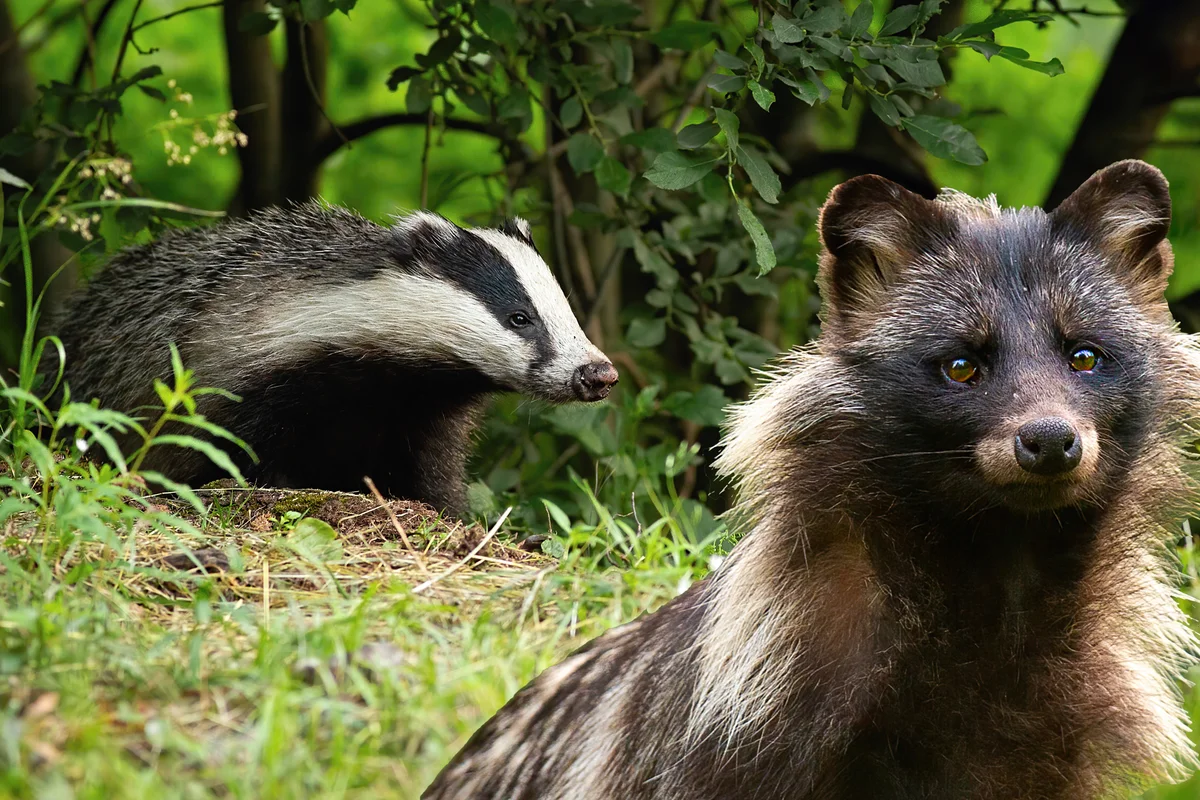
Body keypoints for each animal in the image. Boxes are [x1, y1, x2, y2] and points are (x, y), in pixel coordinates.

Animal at [50, 203, 614, 510]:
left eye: (564, 308)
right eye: (520, 317)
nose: (597, 373)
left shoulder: (423, 411)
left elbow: (430, 475)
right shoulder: (252, 389)